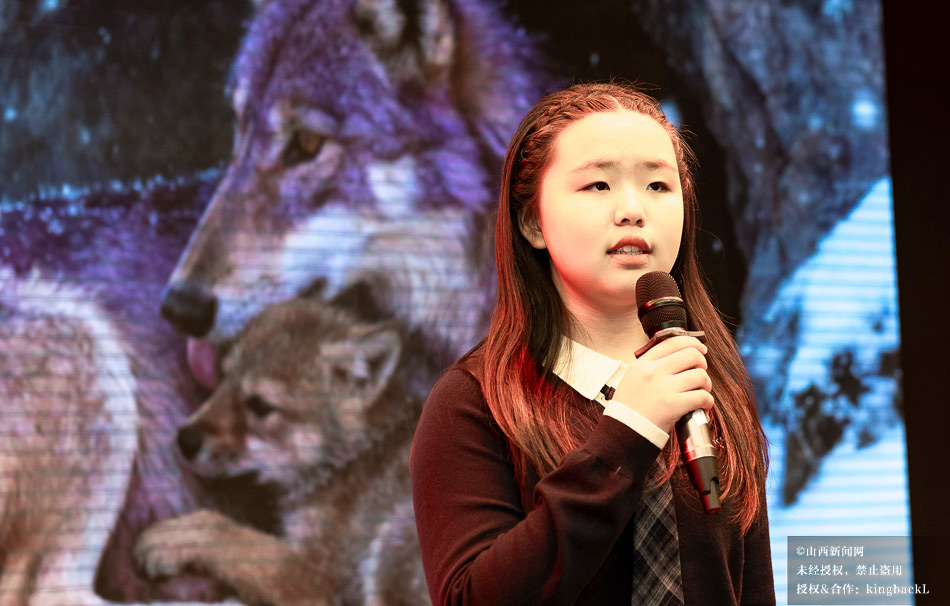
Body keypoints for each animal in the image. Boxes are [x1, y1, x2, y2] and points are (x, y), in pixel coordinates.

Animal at [134, 298, 428, 606]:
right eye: (223, 378)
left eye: (260, 405)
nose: (185, 440)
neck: (353, 458)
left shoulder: (312, 576)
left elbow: (224, 530)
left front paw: (173, 538)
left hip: (388, 546)